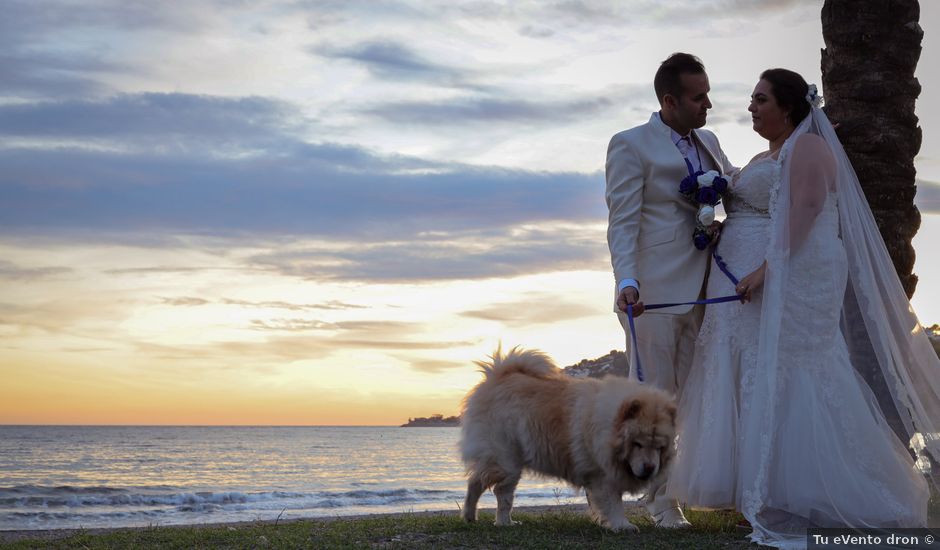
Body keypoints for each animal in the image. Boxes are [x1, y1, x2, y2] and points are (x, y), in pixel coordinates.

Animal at [458, 348, 672, 532]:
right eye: (637, 444)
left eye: (659, 447)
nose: (650, 468)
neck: (609, 427)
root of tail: (498, 376)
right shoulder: (602, 476)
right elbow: (614, 504)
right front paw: (622, 525)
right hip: (505, 460)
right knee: (490, 487)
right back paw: (481, 518)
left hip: (509, 464)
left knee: (493, 490)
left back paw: (493, 521)